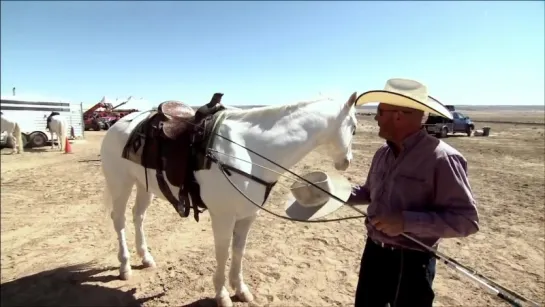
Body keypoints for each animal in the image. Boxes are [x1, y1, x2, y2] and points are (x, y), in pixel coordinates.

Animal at [100, 92, 360, 306]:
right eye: (354, 128)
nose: (347, 161)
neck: (249, 151)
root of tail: (118, 124)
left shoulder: (247, 216)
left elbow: (239, 251)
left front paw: (240, 289)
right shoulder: (223, 217)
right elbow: (223, 253)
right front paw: (222, 294)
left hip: (144, 185)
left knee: (138, 216)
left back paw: (145, 257)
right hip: (120, 183)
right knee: (119, 220)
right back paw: (124, 266)